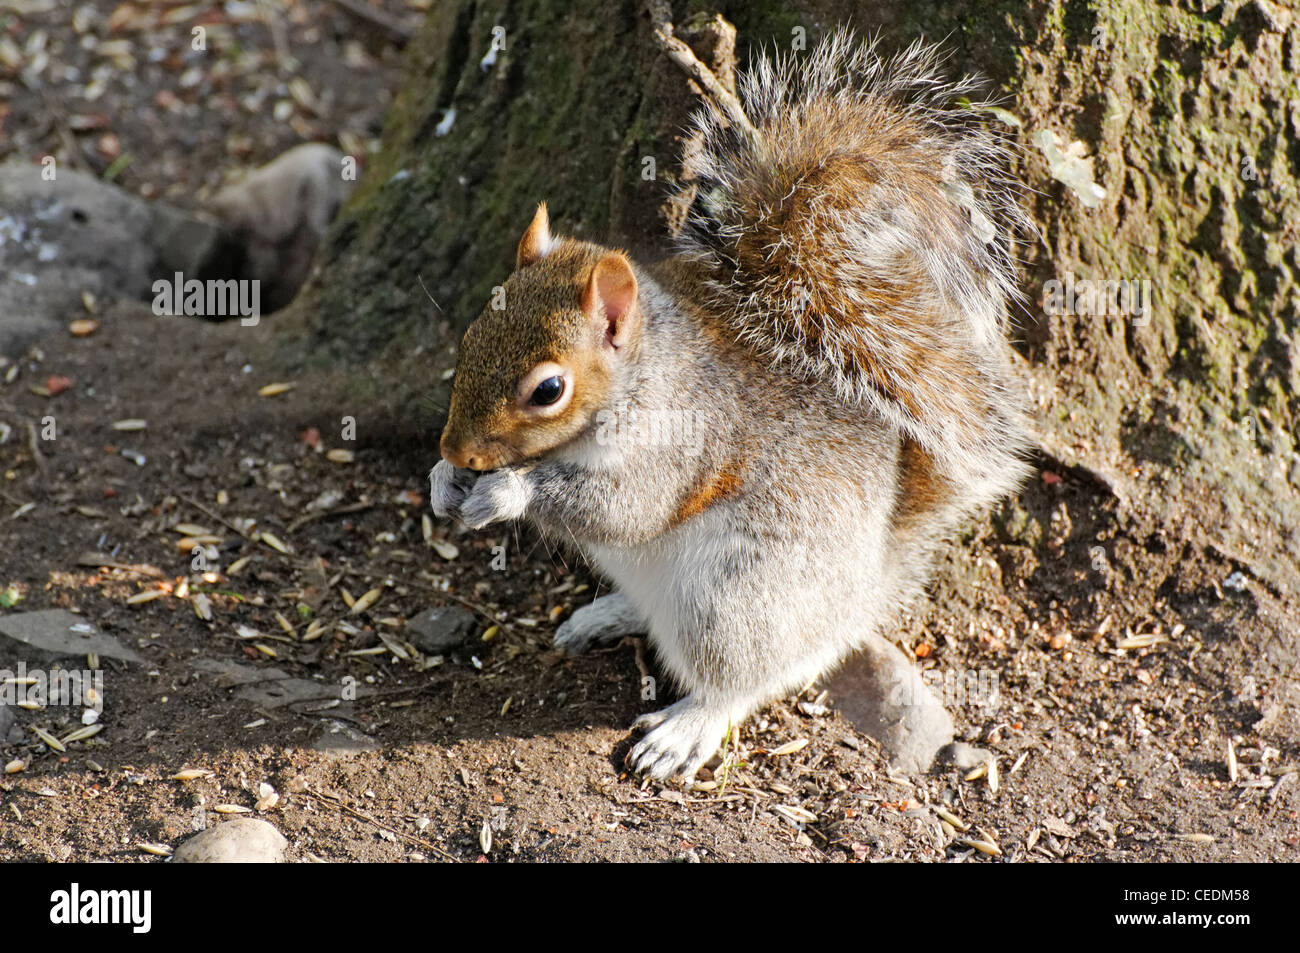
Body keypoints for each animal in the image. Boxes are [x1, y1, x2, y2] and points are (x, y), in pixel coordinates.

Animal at [430, 30, 1033, 781]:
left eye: (548, 391)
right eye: (470, 335)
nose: (455, 449)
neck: (643, 376)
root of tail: (865, 588)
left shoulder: (681, 439)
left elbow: (625, 508)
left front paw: (504, 491)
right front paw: (444, 482)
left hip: (734, 602)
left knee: (742, 680)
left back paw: (686, 729)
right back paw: (607, 615)